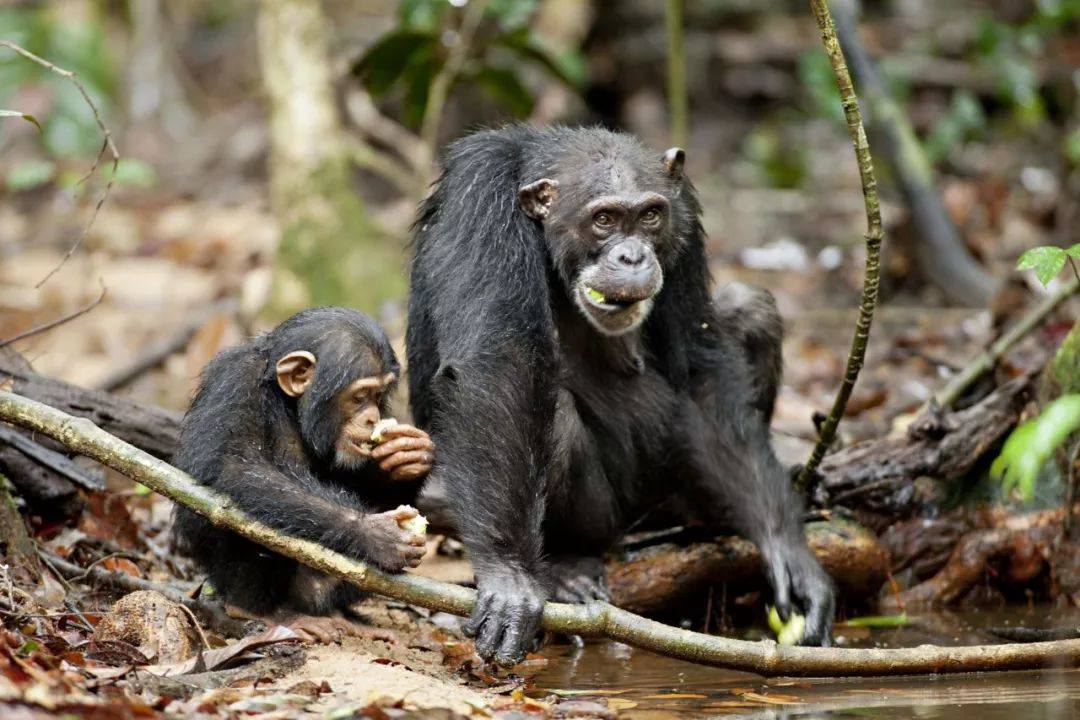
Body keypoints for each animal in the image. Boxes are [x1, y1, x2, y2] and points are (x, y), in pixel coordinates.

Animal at [172, 306, 434, 643]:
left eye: (379, 395)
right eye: (360, 396)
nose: (372, 417)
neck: (288, 403)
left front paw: (408, 457)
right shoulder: (235, 383)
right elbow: (237, 465)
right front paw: (375, 534)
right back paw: (266, 611)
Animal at [406, 124, 833, 664]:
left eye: (649, 215)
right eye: (604, 219)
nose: (632, 255)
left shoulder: (683, 217)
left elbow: (698, 366)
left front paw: (788, 554)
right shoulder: (479, 199)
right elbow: (501, 361)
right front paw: (509, 576)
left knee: (749, 306)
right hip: (605, 516)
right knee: (556, 416)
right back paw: (565, 566)